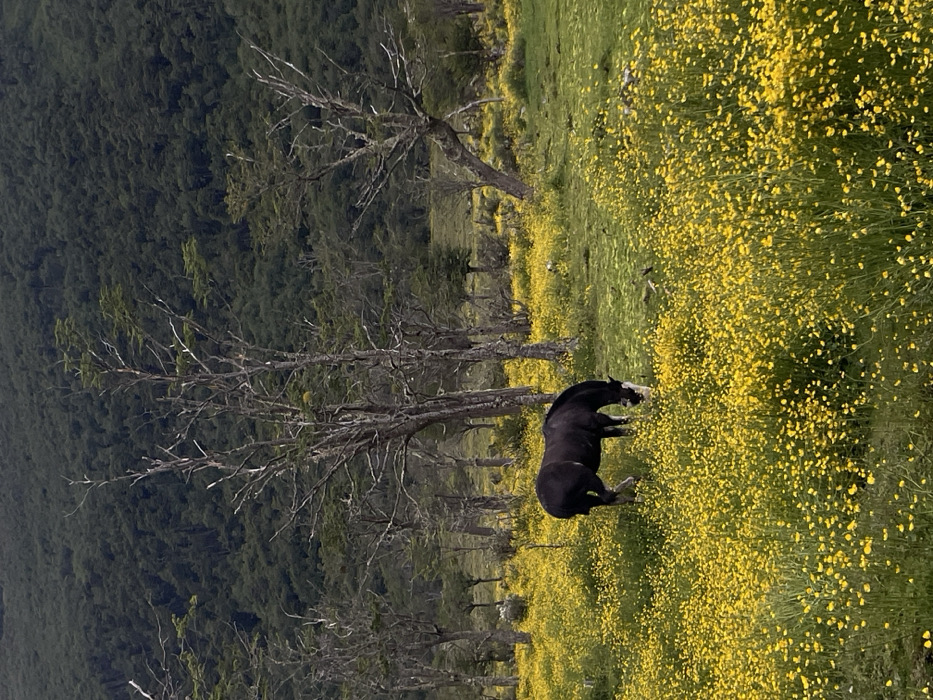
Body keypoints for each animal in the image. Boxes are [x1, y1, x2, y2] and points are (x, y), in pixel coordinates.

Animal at [535, 377, 650, 519]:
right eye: (627, 389)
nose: (647, 392)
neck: (568, 411)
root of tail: (550, 506)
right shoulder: (601, 420)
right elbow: (628, 418)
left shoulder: (602, 431)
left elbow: (629, 430)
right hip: (586, 474)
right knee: (608, 495)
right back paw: (636, 479)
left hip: (585, 501)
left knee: (611, 499)